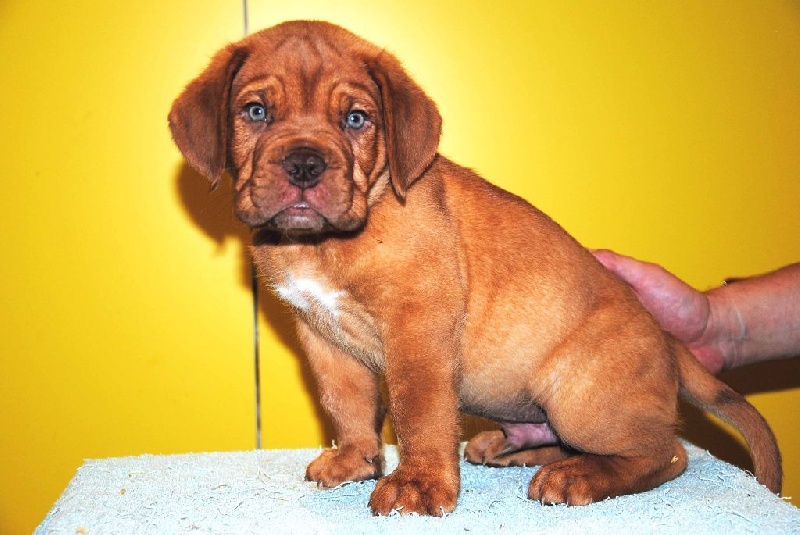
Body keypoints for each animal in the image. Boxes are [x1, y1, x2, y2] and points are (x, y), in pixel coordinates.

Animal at [169, 20, 781, 516]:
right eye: (256, 112)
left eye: (356, 119)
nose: (303, 164)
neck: (321, 244)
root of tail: (666, 339)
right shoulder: (322, 339)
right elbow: (347, 405)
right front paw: (357, 459)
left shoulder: (417, 328)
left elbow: (418, 412)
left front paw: (416, 483)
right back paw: (513, 450)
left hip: (581, 397)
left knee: (667, 452)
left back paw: (576, 475)